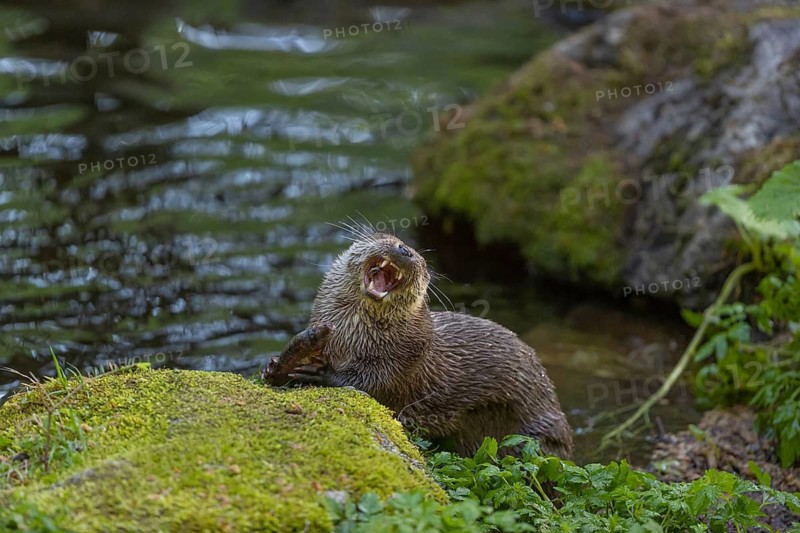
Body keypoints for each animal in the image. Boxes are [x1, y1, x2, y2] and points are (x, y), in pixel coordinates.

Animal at [265, 231, 572, 457]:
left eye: (421, 261)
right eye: (389, 238)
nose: (405, 250)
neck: (352, 339)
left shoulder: (407, 356)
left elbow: (372, 383)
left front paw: (318, 373)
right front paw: (279, 364)